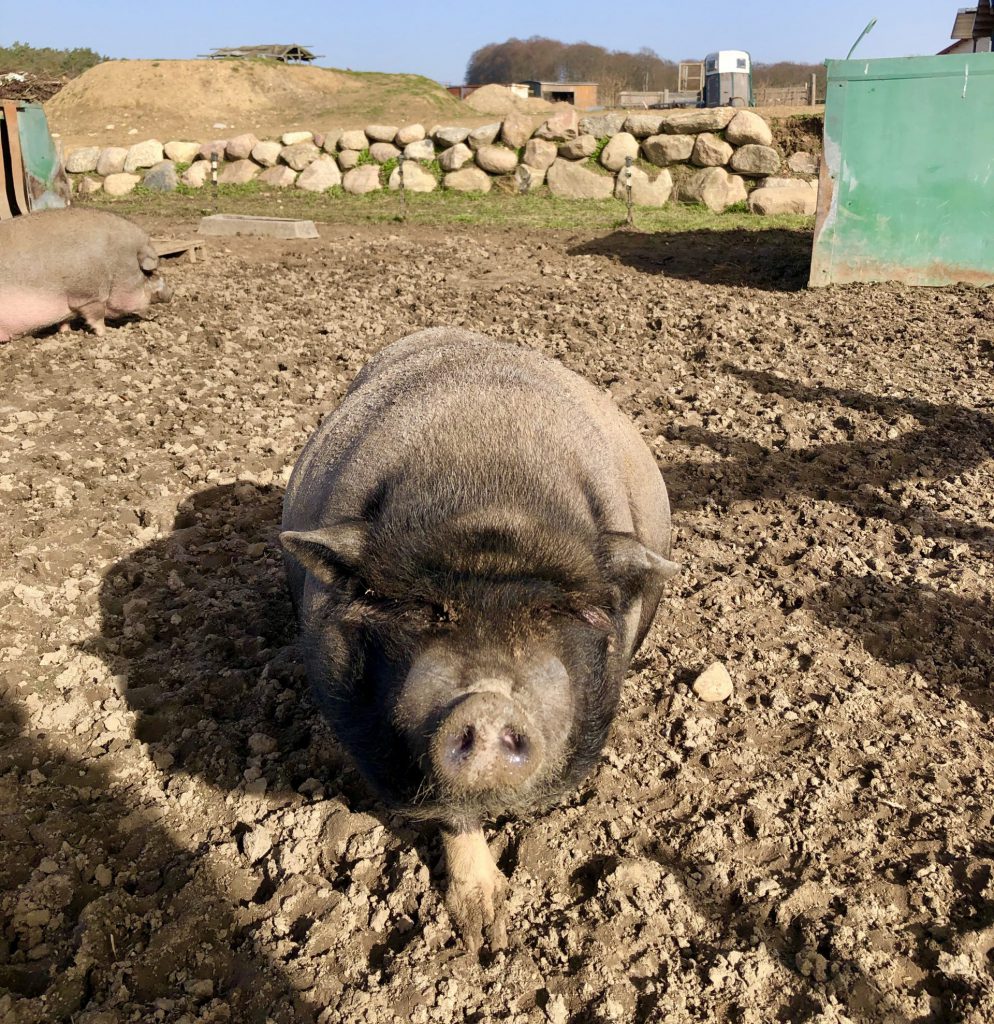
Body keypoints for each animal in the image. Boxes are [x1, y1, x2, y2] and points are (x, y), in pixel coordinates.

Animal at [0, 207, 171, 344]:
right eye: (147, 272)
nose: (171, 293)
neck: (113, 264)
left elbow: (65, 321)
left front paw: (67, 333)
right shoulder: (89, 297)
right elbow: (97, 318)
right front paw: (105, 334)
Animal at [284, 327, 679, 950]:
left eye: (558, 610)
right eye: (424, 607)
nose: (490, 702)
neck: (490, 494)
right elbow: (451, 814)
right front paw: (484, 930)